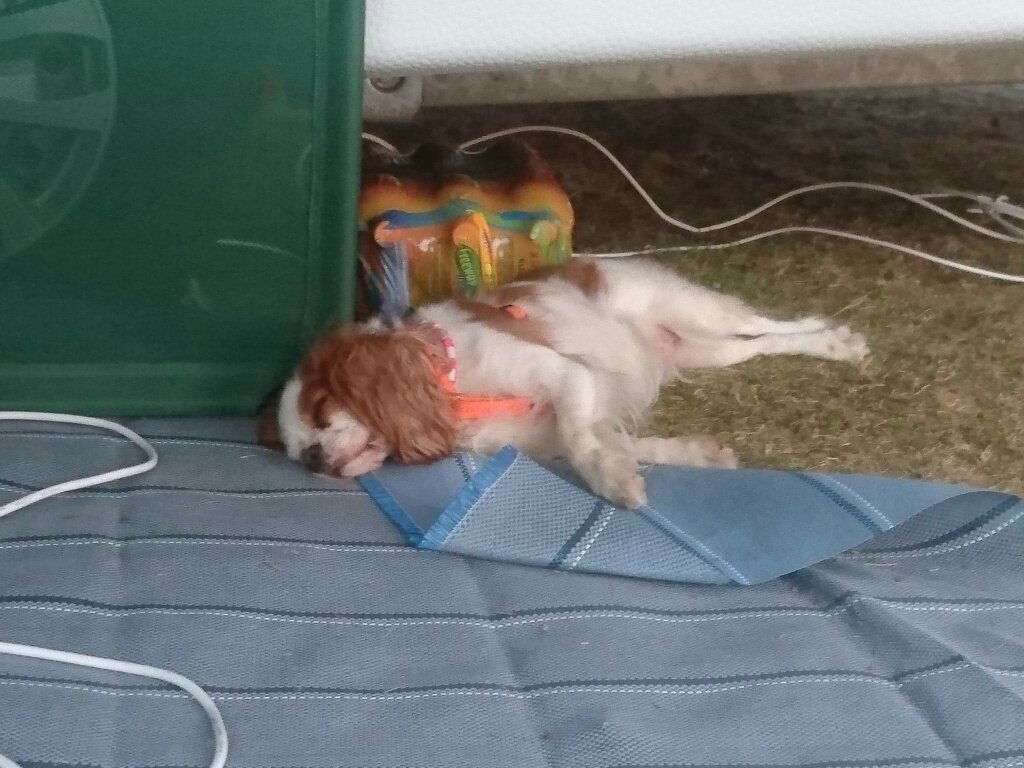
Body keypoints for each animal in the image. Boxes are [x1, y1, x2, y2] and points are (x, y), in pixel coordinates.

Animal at [268, 258, 868, 508]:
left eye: (323, 409)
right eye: (298, 456)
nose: (316, 459)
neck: (457, 390)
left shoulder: (565, 376)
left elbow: (584, 443)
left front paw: (612, 483)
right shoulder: (550, 432)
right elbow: (631, 442)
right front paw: (697, 455)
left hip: (699, 312)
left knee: (776, 325)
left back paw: (837, 342)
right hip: (705, 350)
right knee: (757, 346)